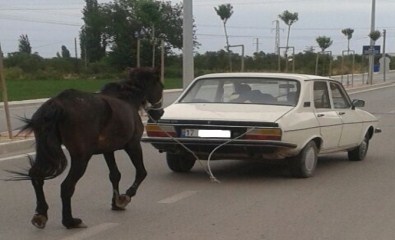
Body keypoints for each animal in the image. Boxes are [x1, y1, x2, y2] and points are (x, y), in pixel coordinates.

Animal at [10, 67, 163, 229]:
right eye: (161, 86)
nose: (159, 113)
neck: (126, 99)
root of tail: (57, 104)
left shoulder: (108, 150)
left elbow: (115, 175)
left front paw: (115, 203)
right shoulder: (133, 145)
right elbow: (141, 172)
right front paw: (125, 197)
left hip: (46, 152)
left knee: (36, 176)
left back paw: (41, 214)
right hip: (81, 158)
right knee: (66, 186)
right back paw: (70, 221)